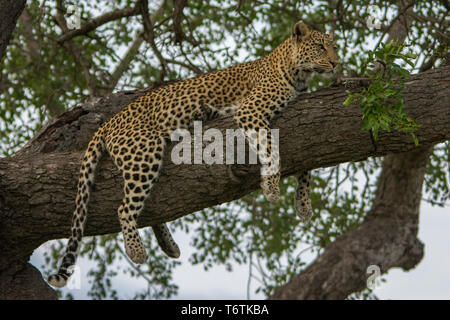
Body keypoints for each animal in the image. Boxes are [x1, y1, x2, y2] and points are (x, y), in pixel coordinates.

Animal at [48, 21, 338, 288]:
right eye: (320, 46)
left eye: (333, 46)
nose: (336, 63)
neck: (298, 74)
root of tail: (108, 122)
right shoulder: (251, 111)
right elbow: (270, 149)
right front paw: (272, 187)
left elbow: (306, 164)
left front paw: (303, 205)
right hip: (145, 152)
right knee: (124, 207)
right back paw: (136, 250)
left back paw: (168, 245)